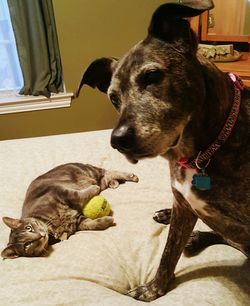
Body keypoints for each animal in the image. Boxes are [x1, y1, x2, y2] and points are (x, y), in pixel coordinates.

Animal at [1, 163, 139, 258]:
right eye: (27, 245)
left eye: (28, 228)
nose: (41, 235)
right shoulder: (77, 221)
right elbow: (91, 224)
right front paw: (107, 220)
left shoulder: (60, 192)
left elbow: (79, 194)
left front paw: (93, 189)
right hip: (98, 178)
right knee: (106, 176)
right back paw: (114, 183)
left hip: (88, 171)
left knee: (108, 171)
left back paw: (130, 176)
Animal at [76, 0, 250, 302]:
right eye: (114, 98)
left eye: (152, 76)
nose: (117, 140)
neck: (201, 153)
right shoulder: (182, 203)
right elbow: (168, 254)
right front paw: (154, 288)